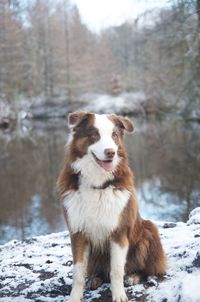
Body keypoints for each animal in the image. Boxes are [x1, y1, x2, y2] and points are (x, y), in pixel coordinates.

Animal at [57, 112, 166, 300]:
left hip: (148, 229)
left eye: (114, 135)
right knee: (98, 272)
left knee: (147, 269)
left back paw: (133, 277)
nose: (111, 152)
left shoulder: (119, 232)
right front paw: (75, 297)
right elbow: (78, 273)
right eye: (94, 135)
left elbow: (116, 270)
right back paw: (95, 279)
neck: (98, 184)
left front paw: (119, 296)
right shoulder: (78, 233)